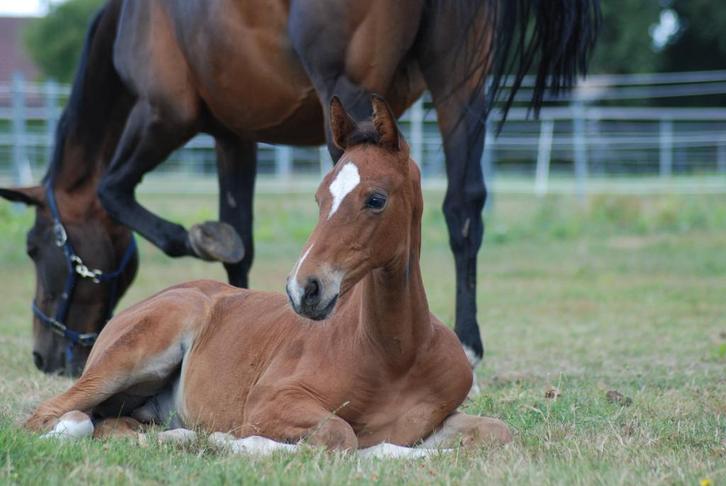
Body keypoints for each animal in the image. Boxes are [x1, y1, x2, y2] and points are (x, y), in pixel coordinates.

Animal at [0, 0, 600, 375]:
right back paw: (468, 342)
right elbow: (241, 241)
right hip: (460, 84)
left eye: (33, 248)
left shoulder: (163, 113)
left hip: (350, 92)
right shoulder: (234, 136)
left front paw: (200, 238)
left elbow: (115, 191)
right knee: (464, 207)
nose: (42, 357)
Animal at [25, 97, 512, 455]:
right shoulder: (269, 401)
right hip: (130, 358)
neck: (397, 353)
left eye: (376, 199)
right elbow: (339, 435)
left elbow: (497, 432)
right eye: (320, 196)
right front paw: (230, 441)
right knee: (51, 414)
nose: (304, 288)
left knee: (112, 424)